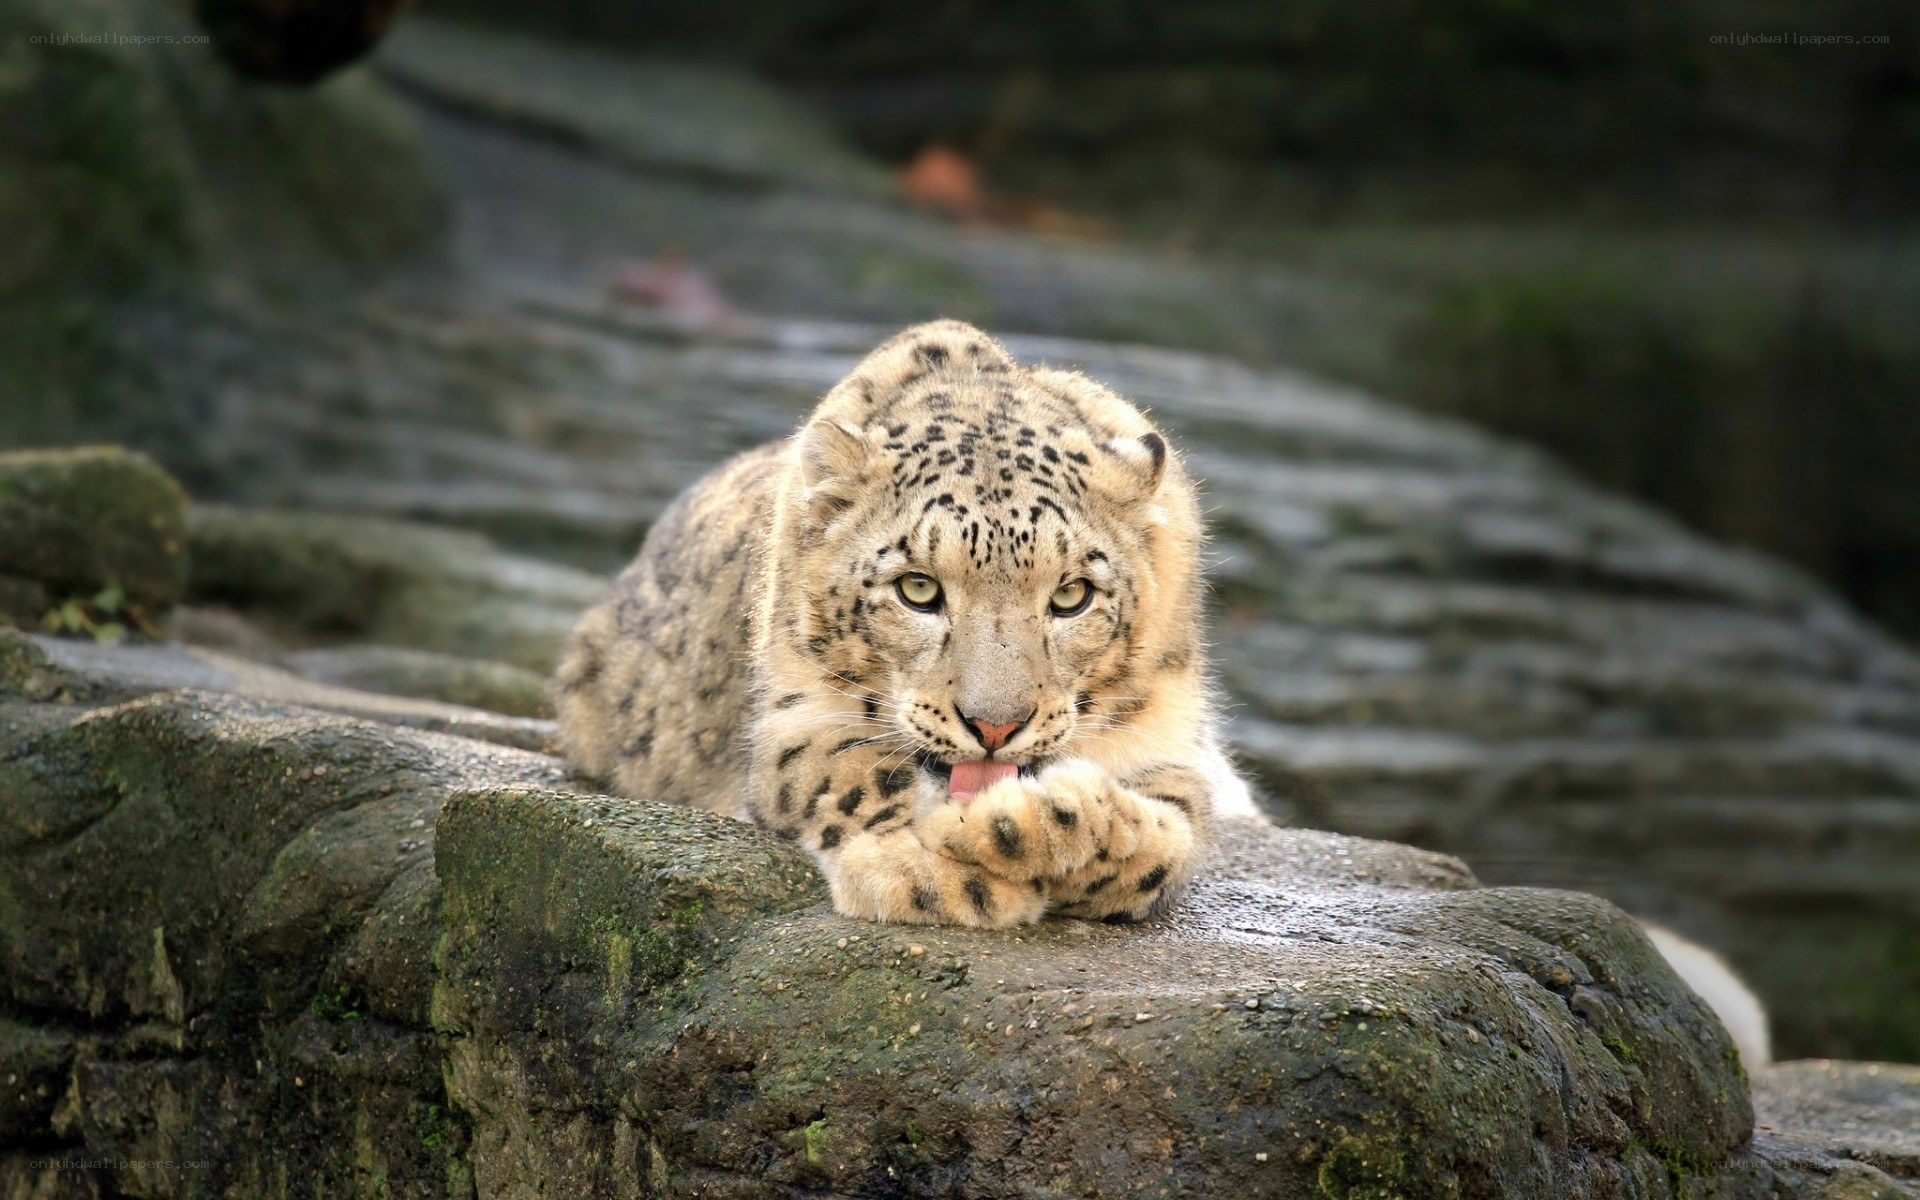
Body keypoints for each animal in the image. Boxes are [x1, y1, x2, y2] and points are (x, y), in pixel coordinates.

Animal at [553, 318, 1256, 929]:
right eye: (917, 588)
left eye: (1071, 595)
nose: (995, 726)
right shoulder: (792, 719)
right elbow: (851, 770)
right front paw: (928, 871)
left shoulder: (1166, 735)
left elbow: (1165, 834)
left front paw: (1031, 825)